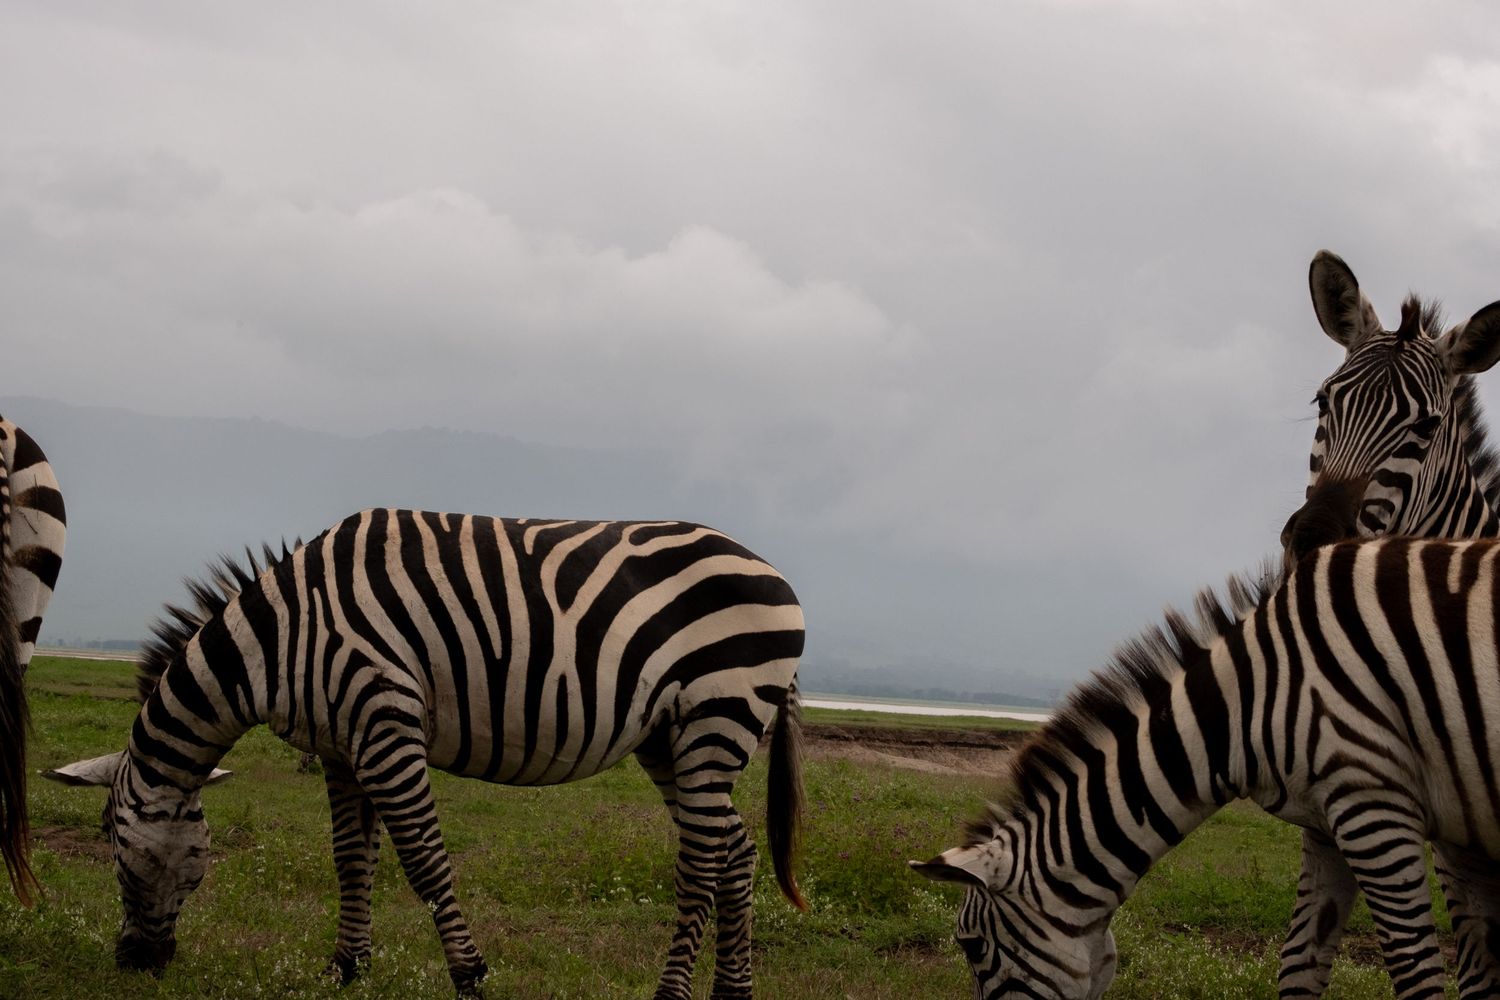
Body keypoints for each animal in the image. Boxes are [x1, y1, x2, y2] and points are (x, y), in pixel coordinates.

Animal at [44, 508, 805, 998]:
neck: (279, 639)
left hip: (716, 714)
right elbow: (351, 860)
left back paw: (672, 992)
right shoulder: (341, 747)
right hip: (669, 737)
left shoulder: (383, 721)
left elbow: (424, 860)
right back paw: (732, 991)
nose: (134, 964)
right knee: (734, 851)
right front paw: (346, 969)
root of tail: (772, 568)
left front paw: (469, 974)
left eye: (112, 844)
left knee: (701, 864)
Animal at [914, 536, 1500, 1000]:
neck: (1247, 706)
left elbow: (1417, 971)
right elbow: (1300, 966)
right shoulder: (1333, 821)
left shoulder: (1371, 801)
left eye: (972, 946)